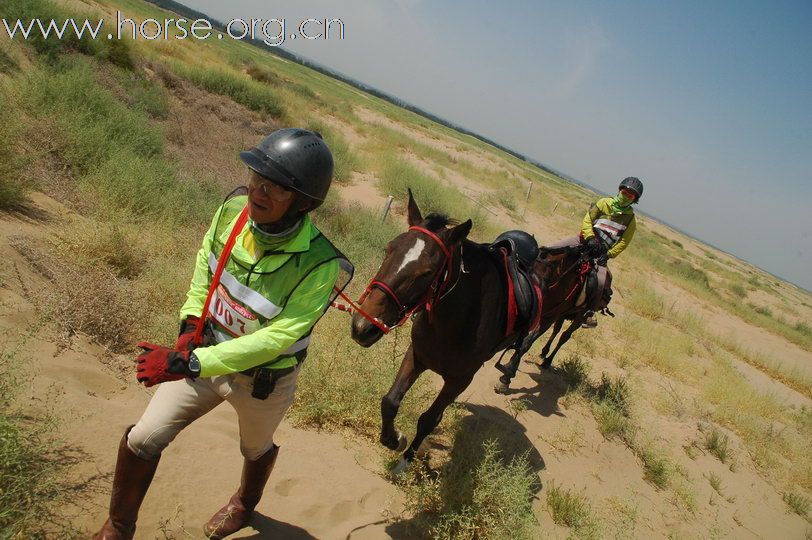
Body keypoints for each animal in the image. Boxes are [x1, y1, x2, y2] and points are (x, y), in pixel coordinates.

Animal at [348, 192, 528, 470]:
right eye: (388, 249)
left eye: (428, 272)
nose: (363, 326)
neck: (454, 321)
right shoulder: (417, 355)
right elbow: (390, 401)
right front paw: (395, 440)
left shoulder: (460, 380)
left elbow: (429, 420)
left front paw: (406, 461)